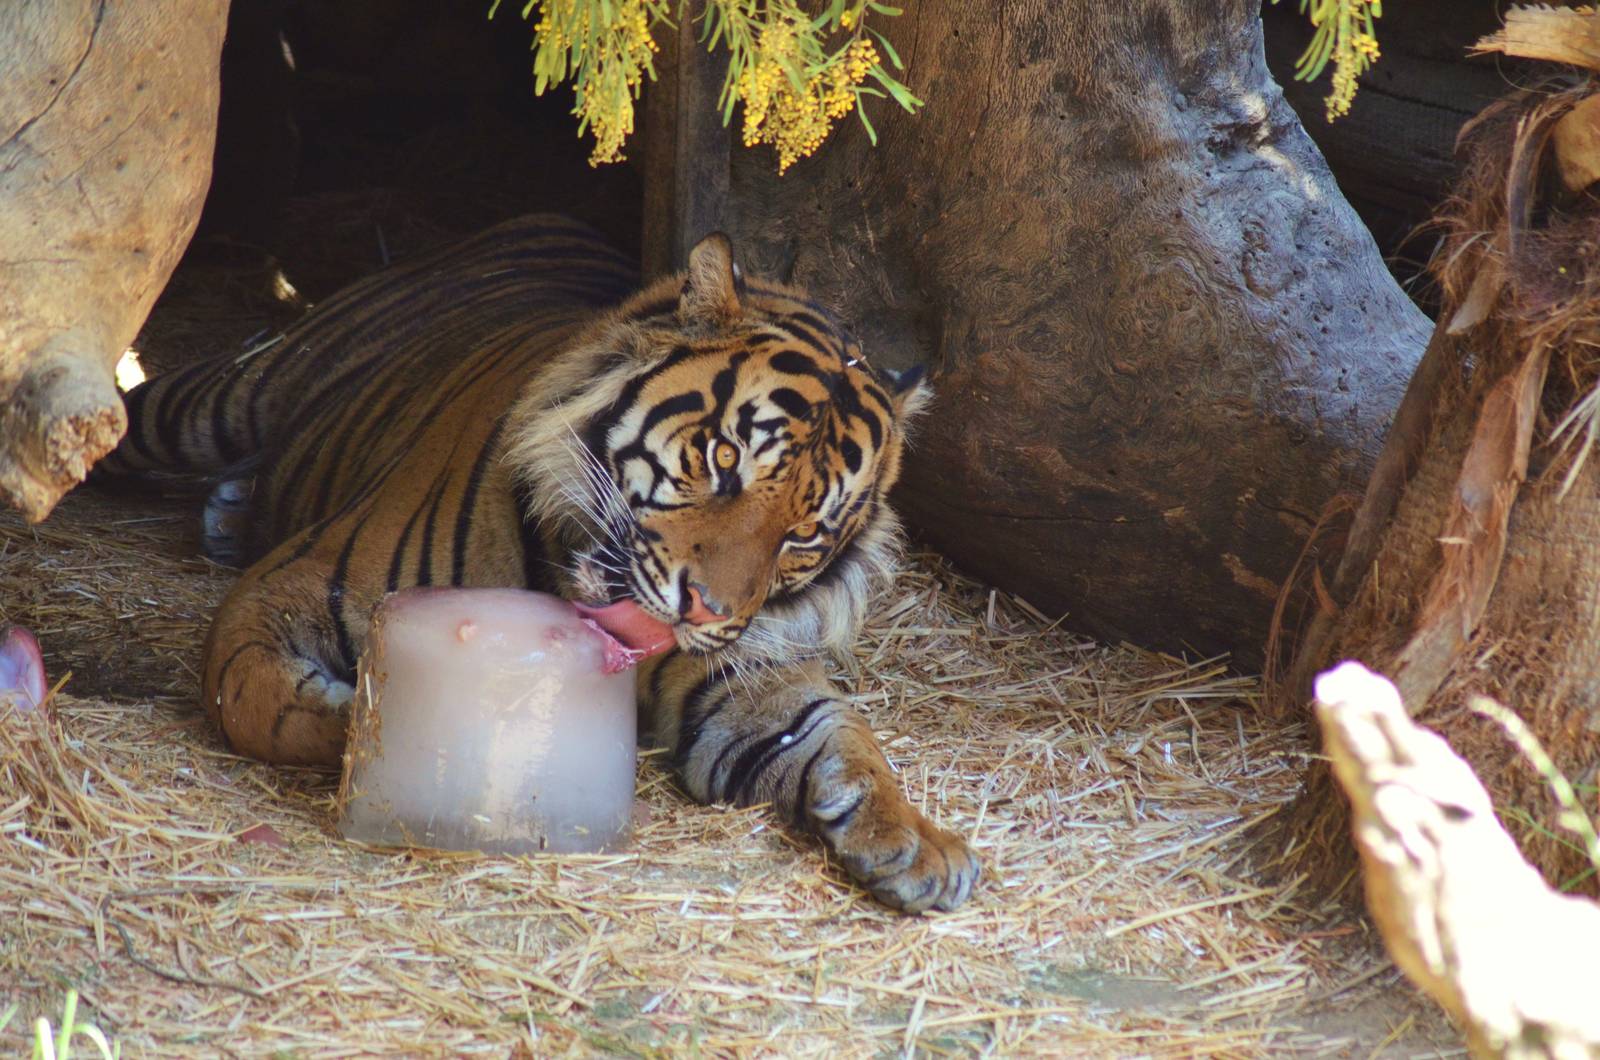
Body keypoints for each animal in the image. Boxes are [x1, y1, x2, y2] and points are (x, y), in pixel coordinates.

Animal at [103, 214, 978, 912]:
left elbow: (835, 734)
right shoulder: (287, 588)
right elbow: (268, 706)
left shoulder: (738, 683)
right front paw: (363, 726)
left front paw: (919, 844)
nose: (708, 609)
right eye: (724, 458)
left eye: (803, 536)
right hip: (223, 393)